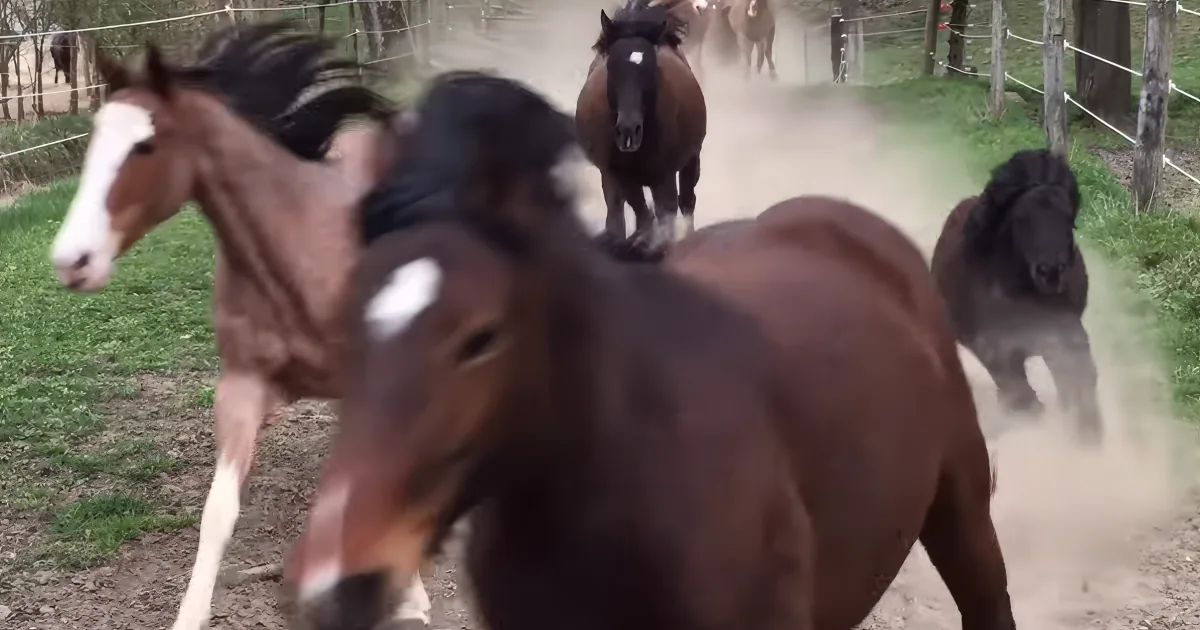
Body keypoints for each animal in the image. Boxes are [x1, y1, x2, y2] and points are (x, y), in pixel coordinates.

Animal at [44, 21, 444, 630]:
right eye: (92, 143)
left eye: (145, 145)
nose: (72, 260)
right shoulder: (242, 386)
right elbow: (219, 512)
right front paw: (188, 616)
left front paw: (411, 598)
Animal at [575, 1, 706, 245]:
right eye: (611, 66)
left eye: (651, 67)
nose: (628, 131)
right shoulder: (619, 176)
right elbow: (638, 217)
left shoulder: (664, 179)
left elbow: (665, 217)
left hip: (691, 159)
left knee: (687, 201)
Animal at [930, 148, 1103, 444]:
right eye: (1021, 218)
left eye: (1068, 218)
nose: (1050, 272)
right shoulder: (994, 350)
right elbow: (1025, 398)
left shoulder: (1066, 332)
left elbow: (1080, 378)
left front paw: (1088, 433)